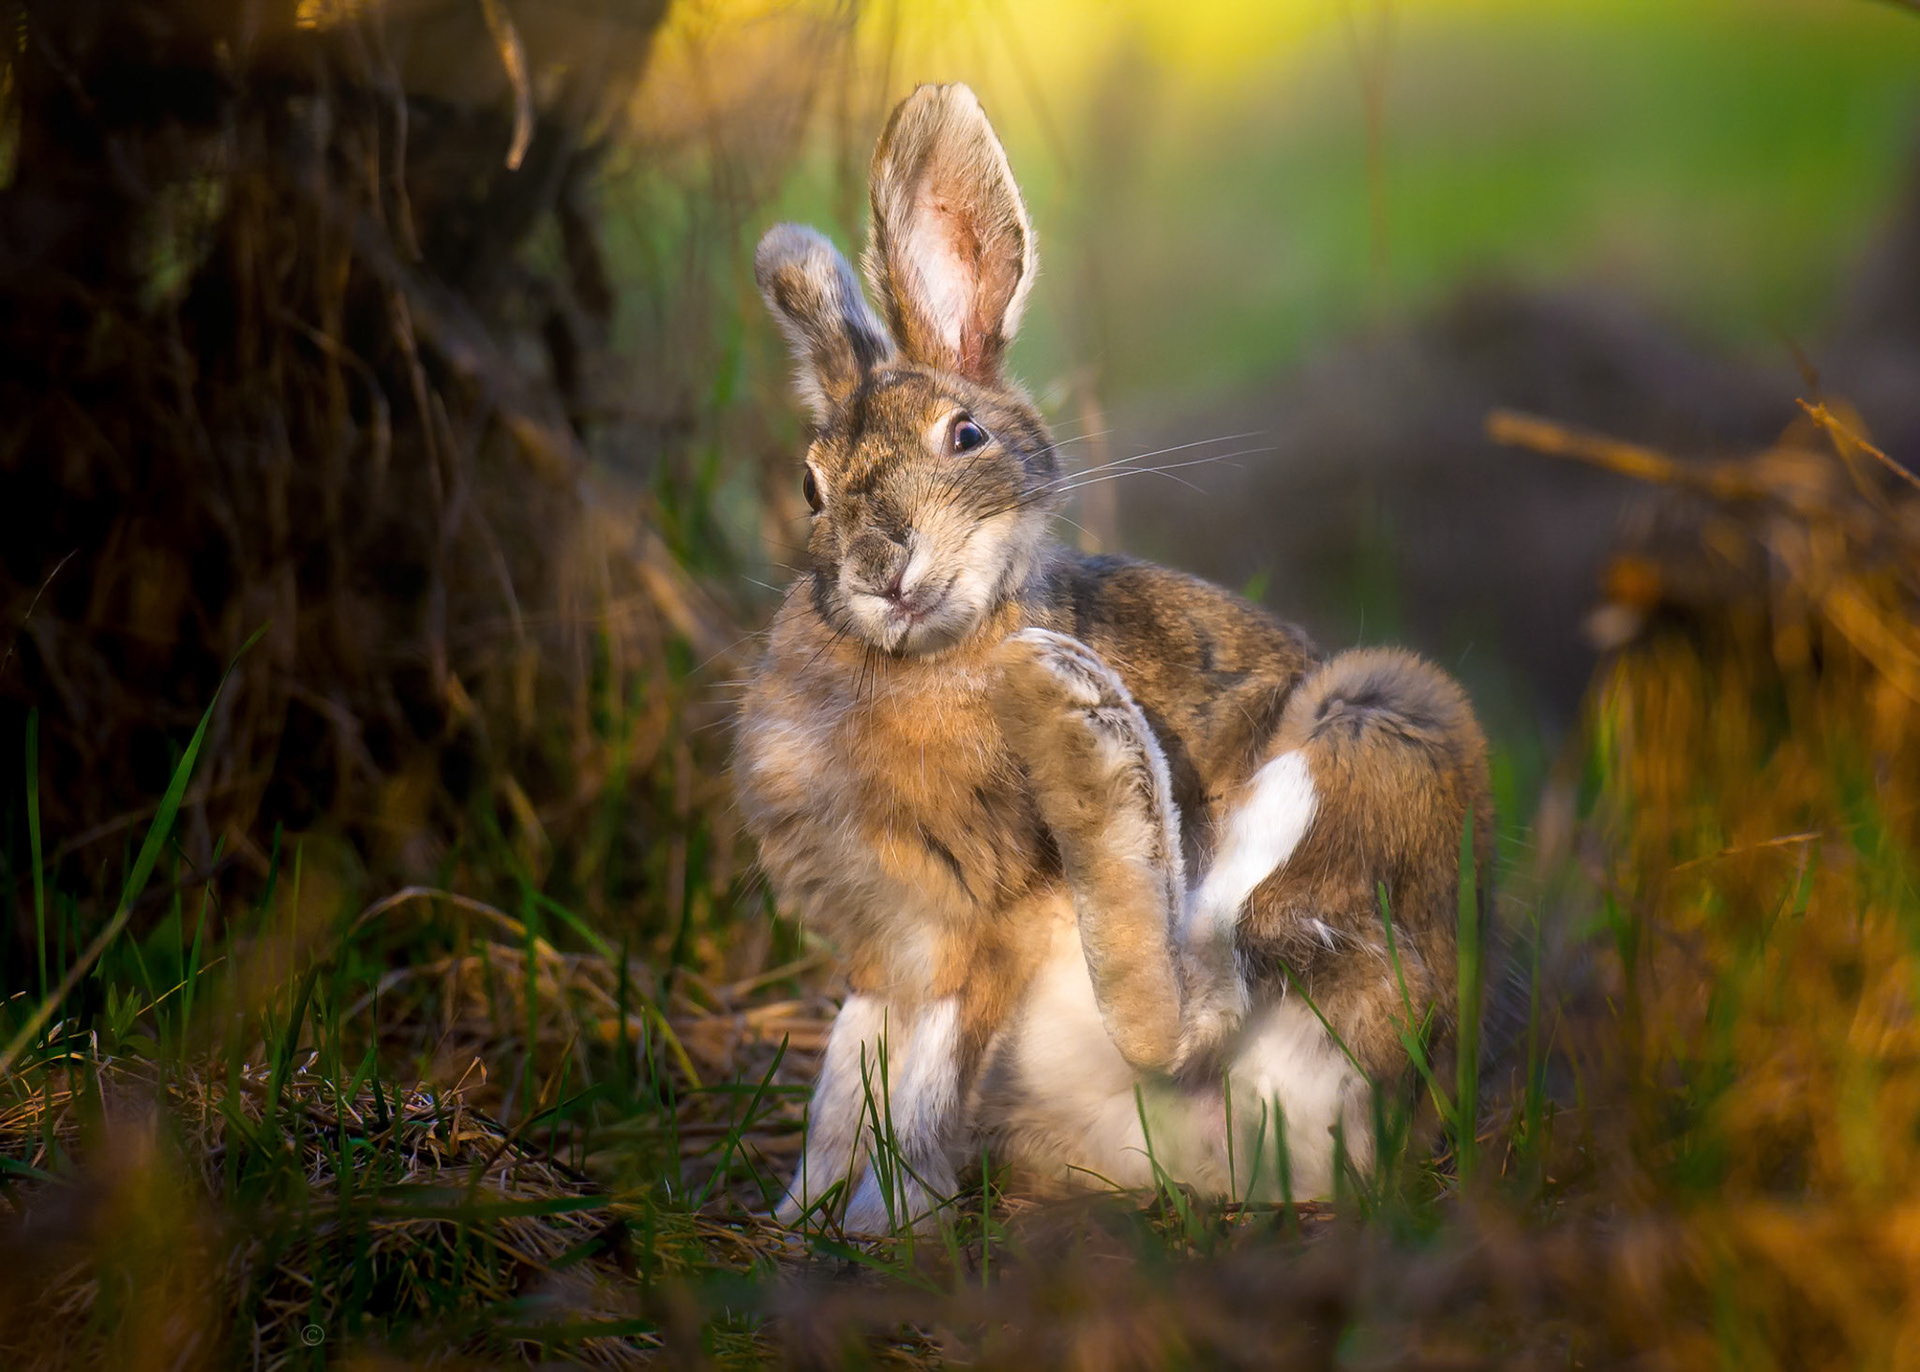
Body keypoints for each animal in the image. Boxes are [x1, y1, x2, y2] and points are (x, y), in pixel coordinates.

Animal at [735, 82, 1493, 1233]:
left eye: (966, 437)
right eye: (812, 484)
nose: (879, 567)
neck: (924, 658)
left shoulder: (983, 934)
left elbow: (918, 1093)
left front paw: (882, 1227)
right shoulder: (887, 953)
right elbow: (840, 1084)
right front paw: (797, 1218)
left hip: (1379, 725)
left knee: (1193, 1008)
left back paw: (1083, 724)